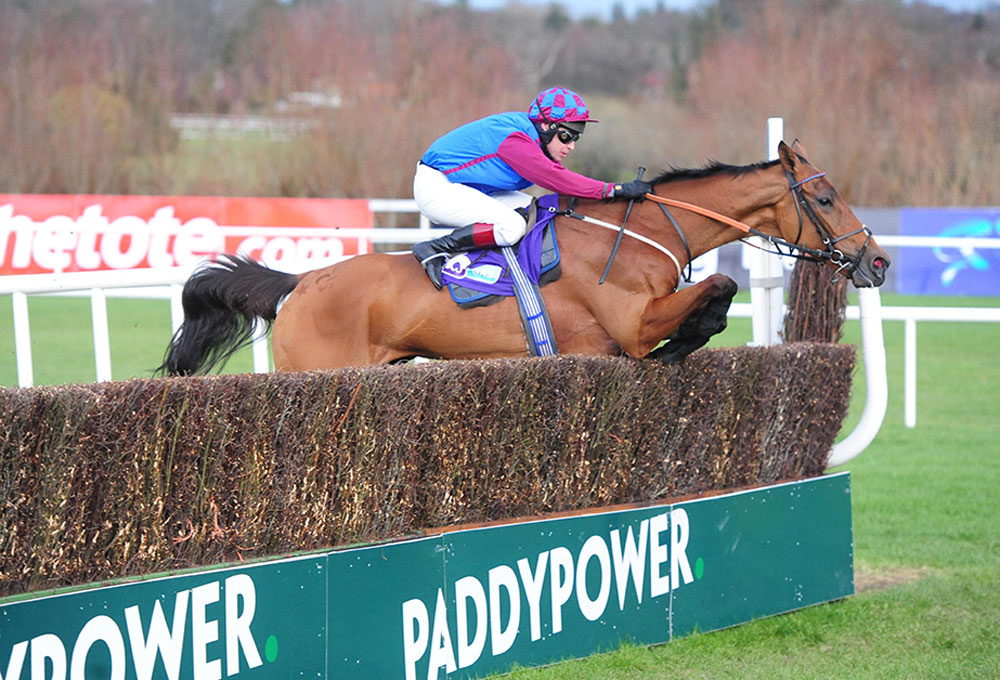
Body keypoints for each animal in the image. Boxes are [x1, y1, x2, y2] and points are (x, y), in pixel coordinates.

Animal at [156, 142, 892, 378]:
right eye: (825, 197)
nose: (878, 260)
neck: (642, 231)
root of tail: (301, 281)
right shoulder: (630, 324)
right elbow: (718, 285)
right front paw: (681, 345)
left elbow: (718, 290)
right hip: (316, 371)